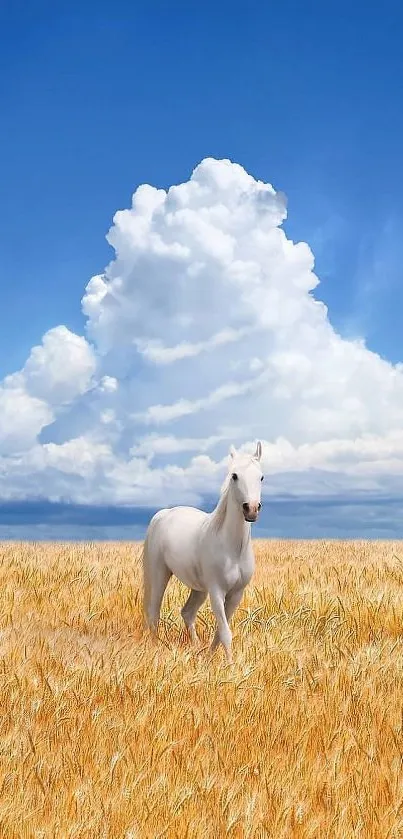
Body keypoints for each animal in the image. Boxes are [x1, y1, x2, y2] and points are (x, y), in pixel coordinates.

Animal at [143, 442, 266, 668]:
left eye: (261, 477)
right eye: (234, 475)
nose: (251, 509)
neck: (232, 547)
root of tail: (164, 514)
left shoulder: (236, 593)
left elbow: (220, 630)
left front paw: (209, 659)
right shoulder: (216, 591)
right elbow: (225, 632)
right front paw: (231, 668)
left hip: (199, 588)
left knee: (187, 612)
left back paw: (195, 648)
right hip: (159, 574)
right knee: (153, 612)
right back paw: (155, 651)